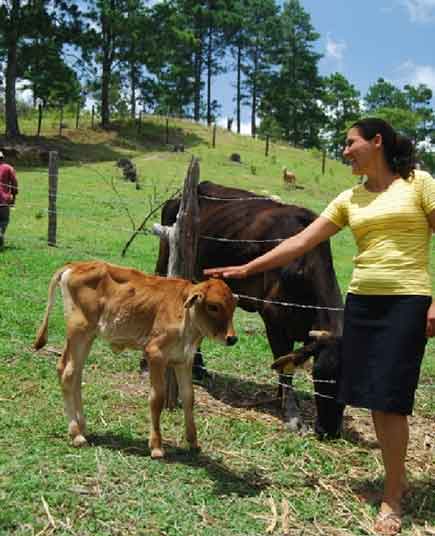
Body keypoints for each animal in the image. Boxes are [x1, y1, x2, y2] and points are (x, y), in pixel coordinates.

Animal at [34, 260, 238, 456]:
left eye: (233, 308)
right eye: (213, 306)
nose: (232, 338)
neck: (186, 319)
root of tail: (75, 265)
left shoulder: (184, 359)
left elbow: (189, 397)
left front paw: (193, 443)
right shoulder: (155, 354)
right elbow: (157, 398)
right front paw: (156, 446)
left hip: (87, 337)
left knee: (73, 372)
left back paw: (82, 427)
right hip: (79, 330)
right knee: (68, 375)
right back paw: (76, 434)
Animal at [155, 182, 346, 438]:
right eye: (319, 376)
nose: (329, 431)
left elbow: (284, 365)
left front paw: (280, 399)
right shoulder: (273, 319)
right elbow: (285, 370)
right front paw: (292, 414)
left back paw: (198, 369)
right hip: (165, 258)